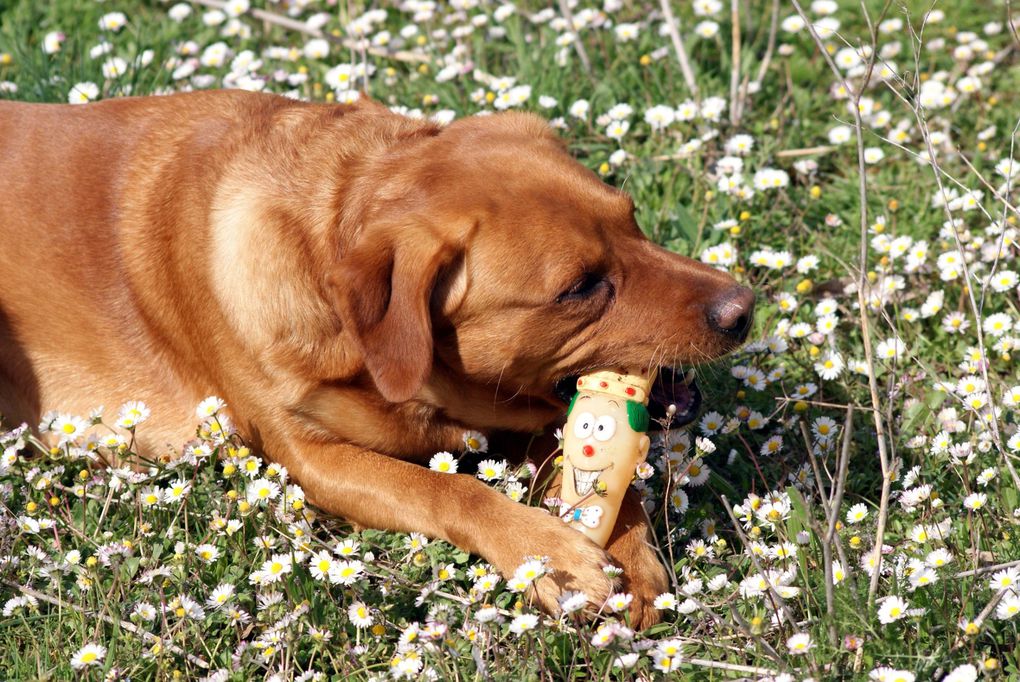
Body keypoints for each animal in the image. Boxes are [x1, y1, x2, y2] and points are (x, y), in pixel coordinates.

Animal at [0, 91, 750, 627]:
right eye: (580, 286)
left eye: (632, 218)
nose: (744, 309)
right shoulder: (308, 460)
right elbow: (447, 488)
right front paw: (549, 555)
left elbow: (587, 470)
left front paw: (626, 544)